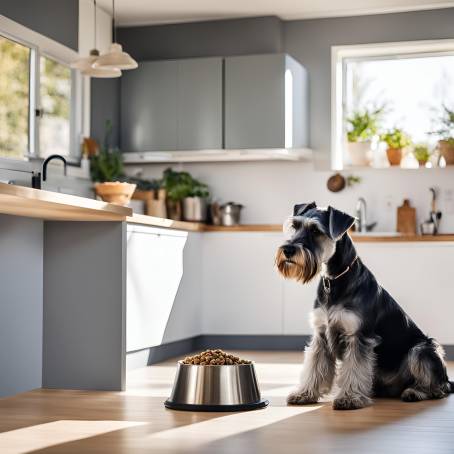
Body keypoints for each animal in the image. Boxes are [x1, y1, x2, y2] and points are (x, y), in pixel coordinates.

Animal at [274, 204, 452, 410]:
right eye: (295, 226)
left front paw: (349, 398)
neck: (334, 280)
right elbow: (314, 367)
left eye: (316, 230)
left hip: (422, 350)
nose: (288, 250)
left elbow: (354, 368)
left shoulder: (358, 337)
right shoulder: (320, 336)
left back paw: (415, 392)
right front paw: (304, 393)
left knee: (439, 387)